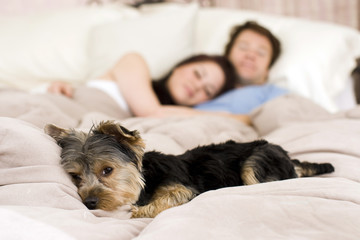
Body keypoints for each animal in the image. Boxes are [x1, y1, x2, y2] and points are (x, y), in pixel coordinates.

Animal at [45, 121, 334, 218]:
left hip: (258, 160)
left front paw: (139, 210)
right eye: (75, 177)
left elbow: (164, 200)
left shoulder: (182, 187)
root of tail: (289, 157)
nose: (90, 203)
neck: (146, 180)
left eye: (107, 170)